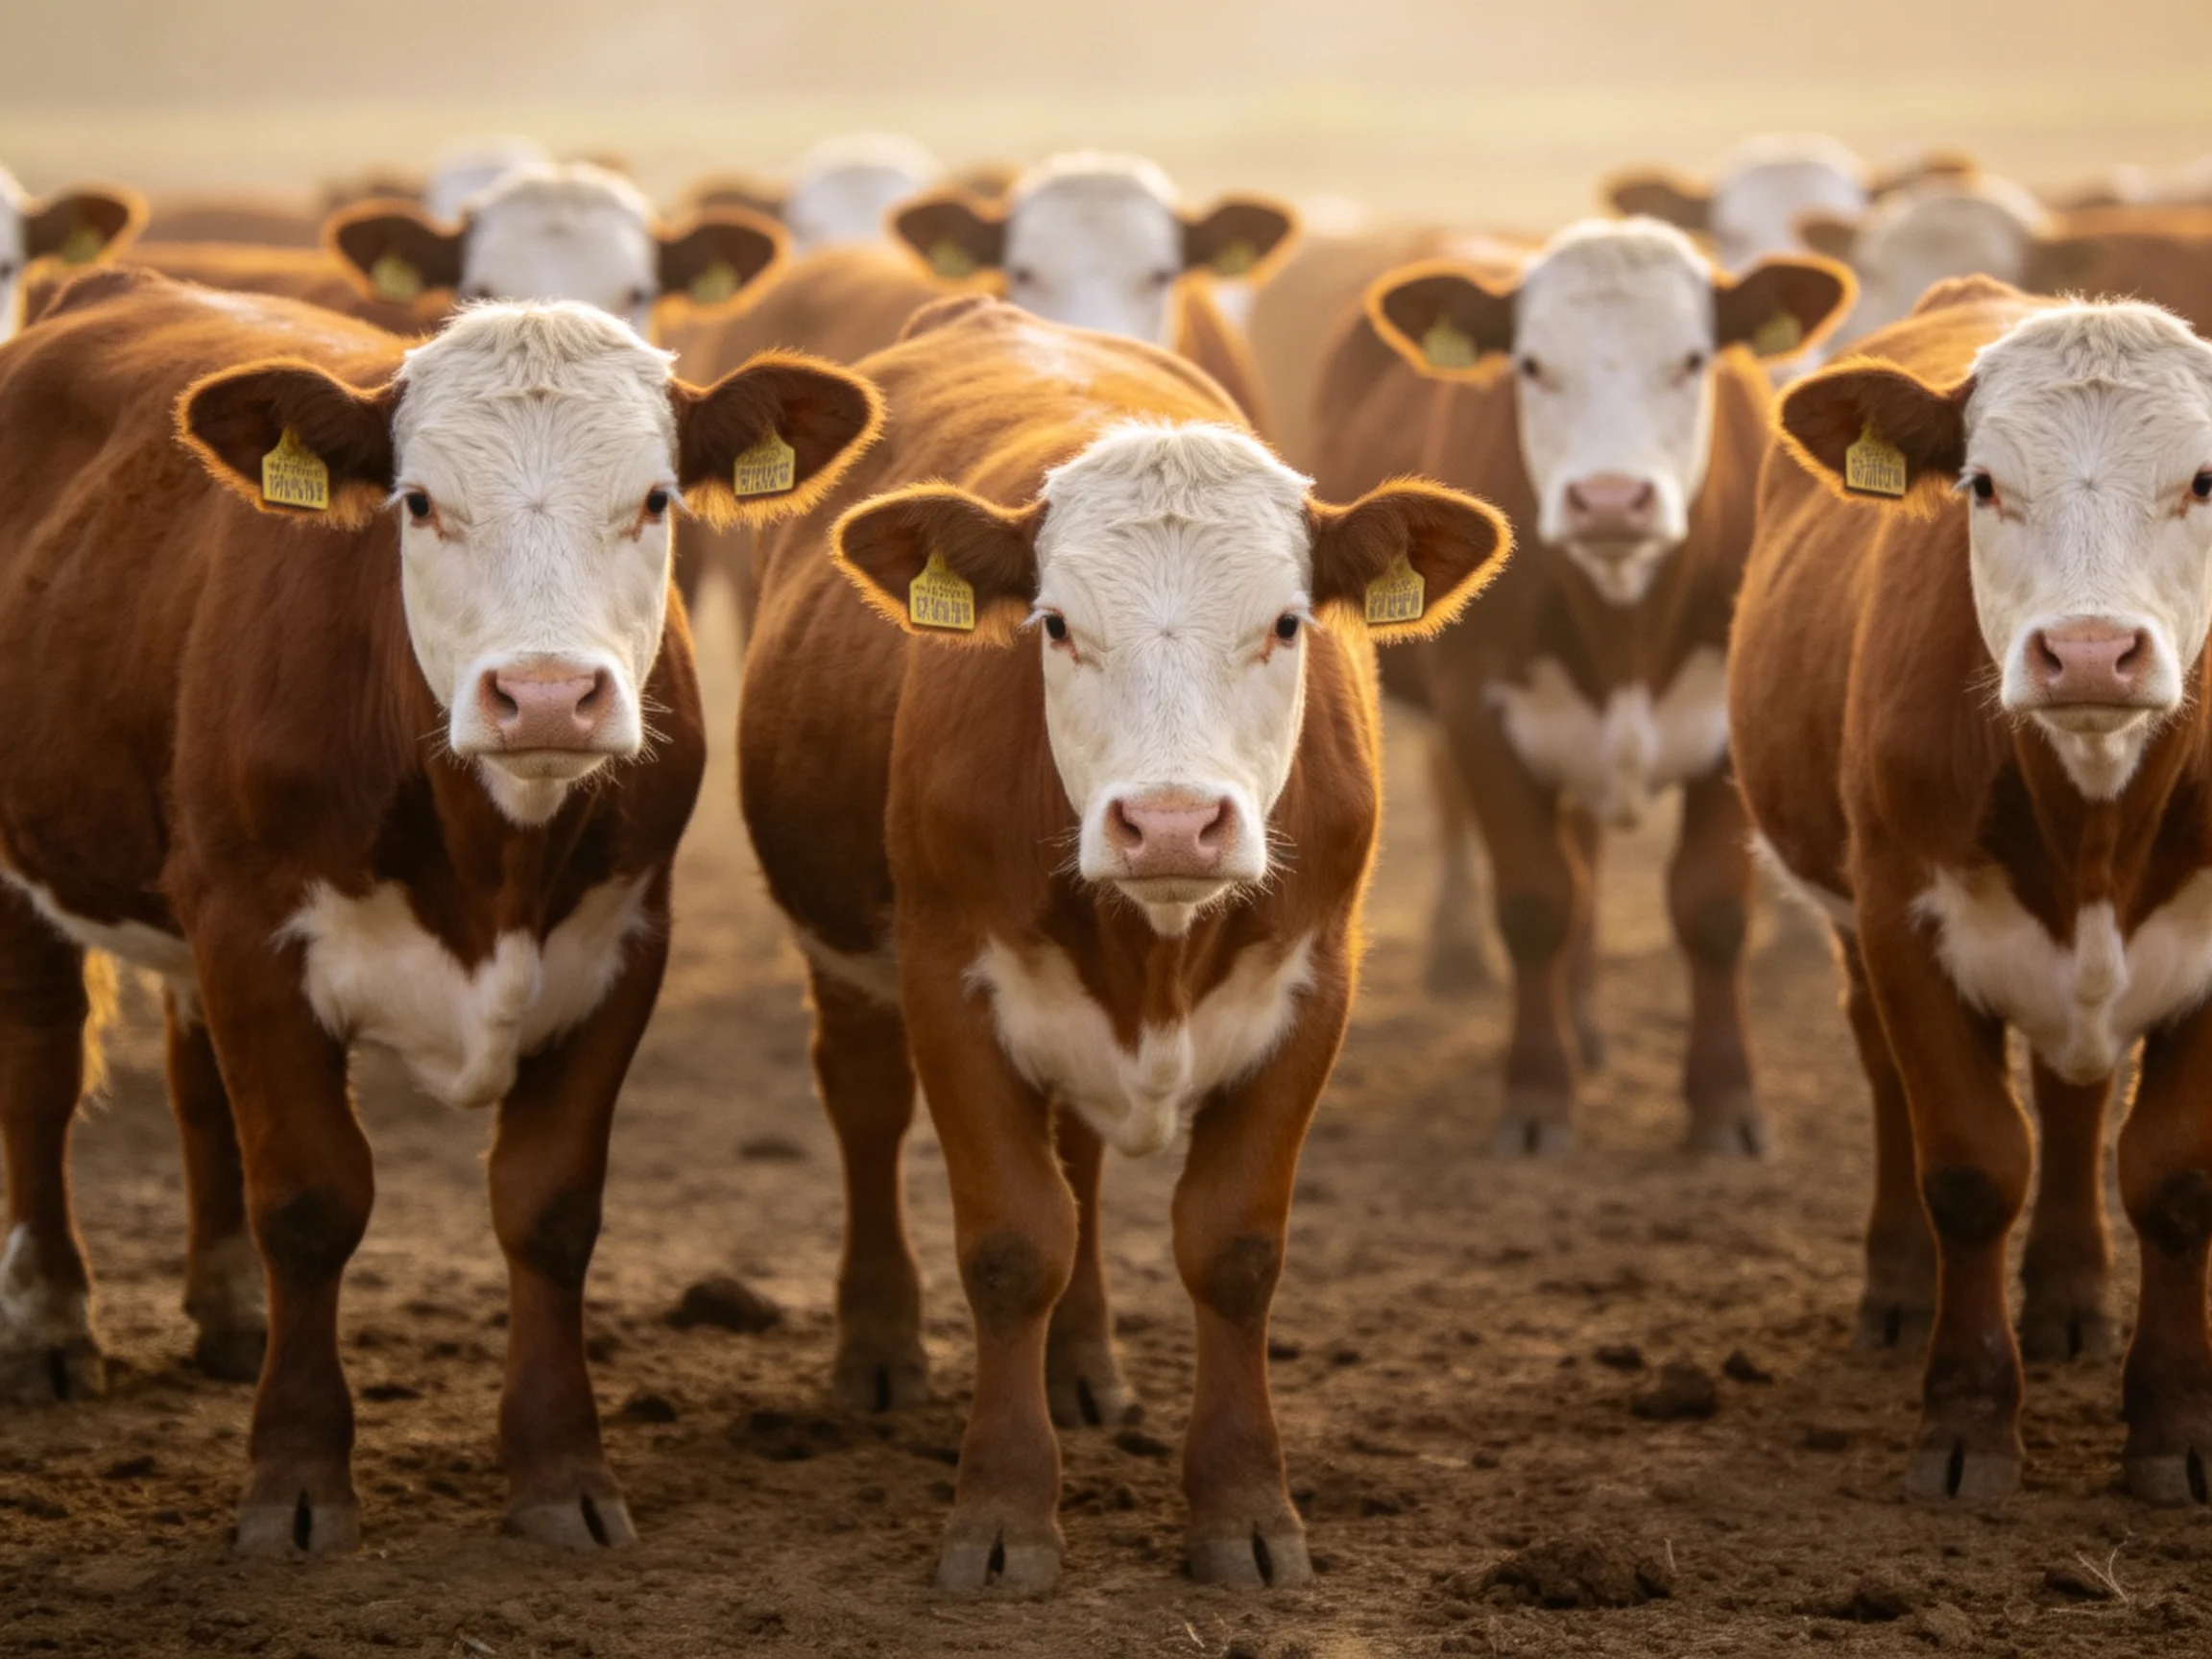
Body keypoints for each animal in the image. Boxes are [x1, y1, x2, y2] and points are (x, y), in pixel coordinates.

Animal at [0, 266, 882, 1552]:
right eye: (418, 504)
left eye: (656, 498)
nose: (547, 695)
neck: (490, 854)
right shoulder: (253, 934)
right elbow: (309, 1198)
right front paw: (296, 1481)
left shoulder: (623, 942)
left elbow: (548, 1207)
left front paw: (562, 1473)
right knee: (42, 1067)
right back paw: (50, 1323)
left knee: (191, 1076)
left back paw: (231, 1315)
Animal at [738, 294, 1508, 1590]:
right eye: (1055, 625)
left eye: (1287, 623)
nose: (1172, 822)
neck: (1158, 942)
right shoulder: (951, 982)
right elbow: (1012, 1241)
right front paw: (1002, 1514)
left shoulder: (1316, 986)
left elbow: (1233, 1247)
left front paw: (1245, 1509)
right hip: (847, 959)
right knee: (864, 1108)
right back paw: (880, 1349)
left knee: (1081, 1164)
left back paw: (1083, 1366)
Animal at [1309, 219, 1852, 1154]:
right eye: (1531, 365)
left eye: (1692, 359)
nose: (1609, 499)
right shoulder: (1482, 713)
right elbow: (1537, 902)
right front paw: (1537, 1096)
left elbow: (1712, 911)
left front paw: (1727, 1103)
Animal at [1731, 276, 2212, 1504]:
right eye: (1984, 484)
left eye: (2203, 479)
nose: (2088, 653)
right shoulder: (1904, 916)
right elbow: (1968, 1165)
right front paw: (1965, 1423)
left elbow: (2174, 1177)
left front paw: (2176, 1431)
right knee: (1885, 1077)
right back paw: (1901, 1291)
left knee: (2075, 1097)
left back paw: (2074, 1299)